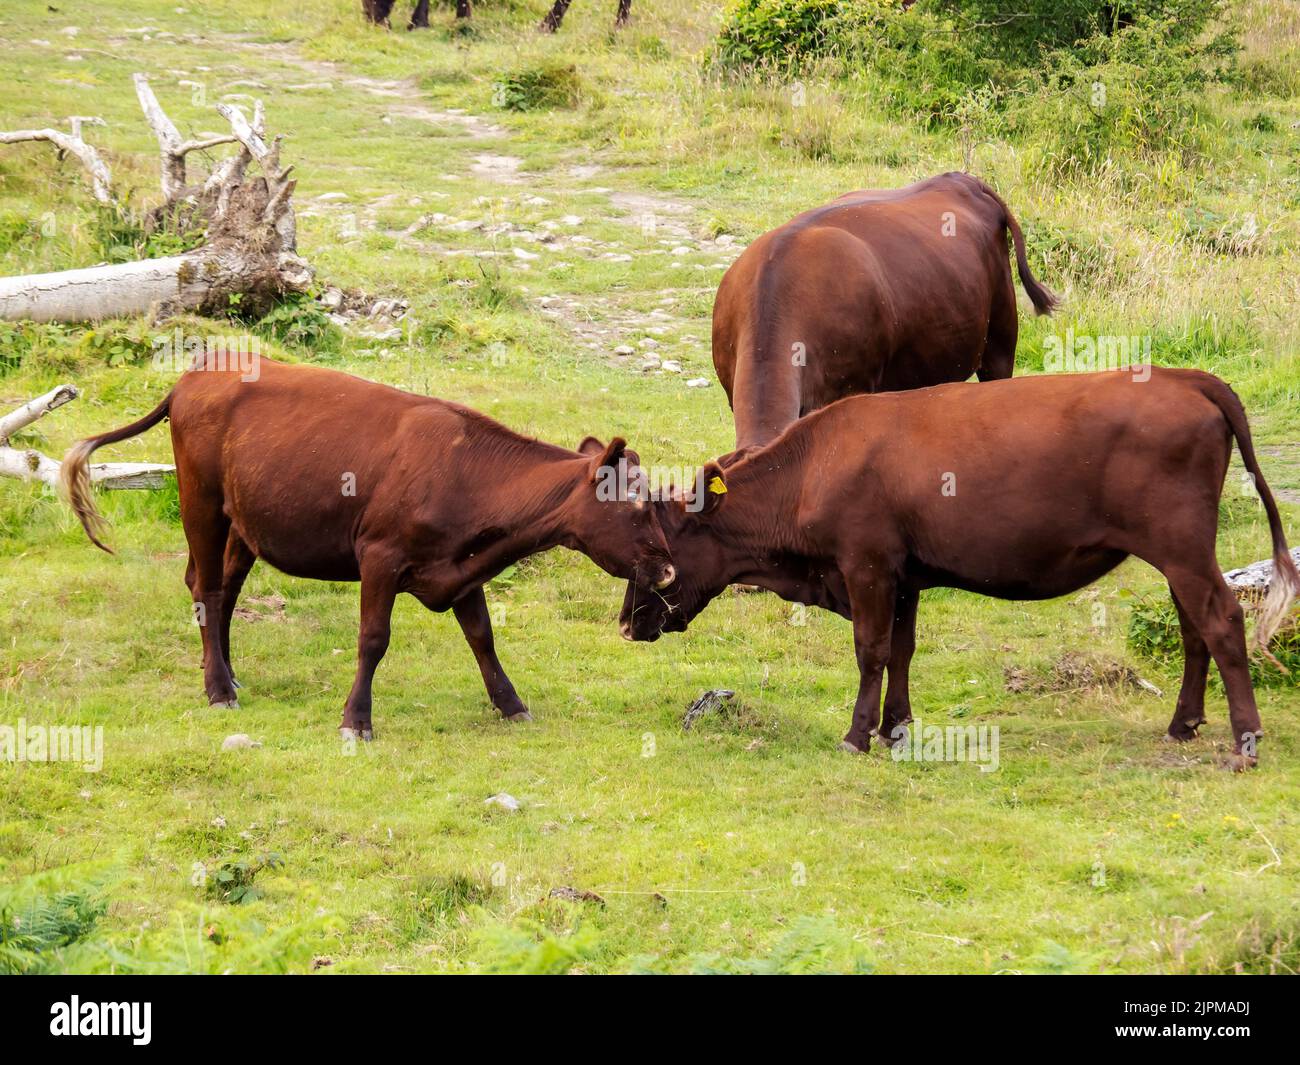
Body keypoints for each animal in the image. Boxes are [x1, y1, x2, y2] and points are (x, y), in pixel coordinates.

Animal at [61, 356, 676, 740]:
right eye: (637, 504)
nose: (668, 570)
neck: (463, 474)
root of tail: (193, 376)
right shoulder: (379, 557)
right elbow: (373, 640)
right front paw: (356, 721)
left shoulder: (462, 568)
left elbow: (482, 637)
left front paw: (511, 705)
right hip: (200, 502)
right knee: (206, 589)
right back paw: (217, 689)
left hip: (244, 520)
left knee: (224, 590)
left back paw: (230, 675)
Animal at [619, 369, 1298, 769]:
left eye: (657, 551)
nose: (626, 624)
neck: (815, 468)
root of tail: (1185, 377)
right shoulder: (905, 575)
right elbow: (901, 650)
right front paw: (895, 728)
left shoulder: (866, 564)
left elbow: (870, 649)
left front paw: (857, 734)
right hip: (1179, 555)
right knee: (1194, 629)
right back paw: (1183, 724)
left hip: (1183, 548)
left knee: (1222, 622)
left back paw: (1244, 744)